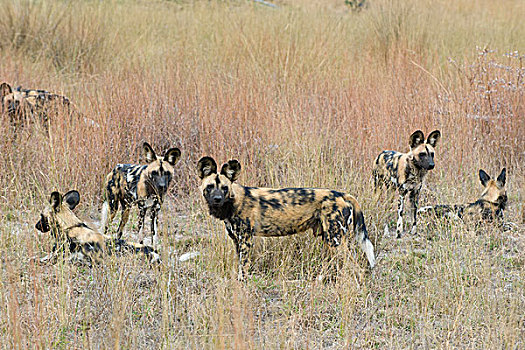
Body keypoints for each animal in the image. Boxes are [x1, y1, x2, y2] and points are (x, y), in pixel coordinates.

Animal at [198, 157, 376, 280]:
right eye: (210, 187)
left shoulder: (246, 241)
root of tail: (341, 194)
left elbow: (244, 269)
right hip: (330, 239)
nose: (217, 199)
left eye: (224, 188)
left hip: (336, 240)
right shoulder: (237, 241)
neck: (233, 201)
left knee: (357, 269)